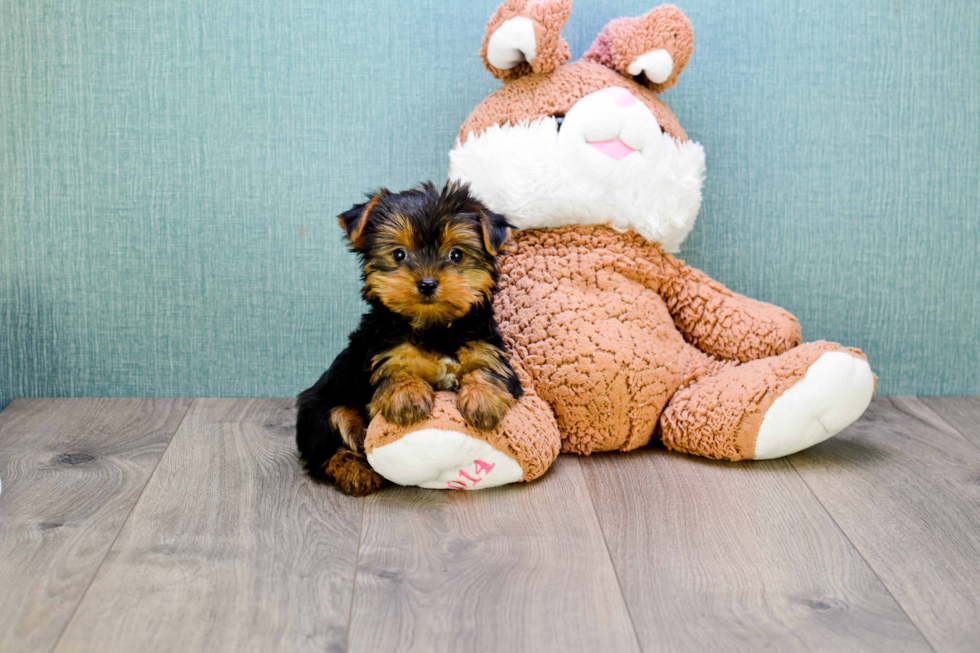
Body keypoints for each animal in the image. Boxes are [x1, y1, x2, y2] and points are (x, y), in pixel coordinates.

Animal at [296, 181, 524, 496]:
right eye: (399, 254)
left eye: (456, 255)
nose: (427, 283)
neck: (435, 327)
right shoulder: (383, 353)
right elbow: (396, 372)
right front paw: (407, 396)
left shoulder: (489, 348)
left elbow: (488, 369)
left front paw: (482, 400)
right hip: (322, 408)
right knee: (325, 449)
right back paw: (355, 470)